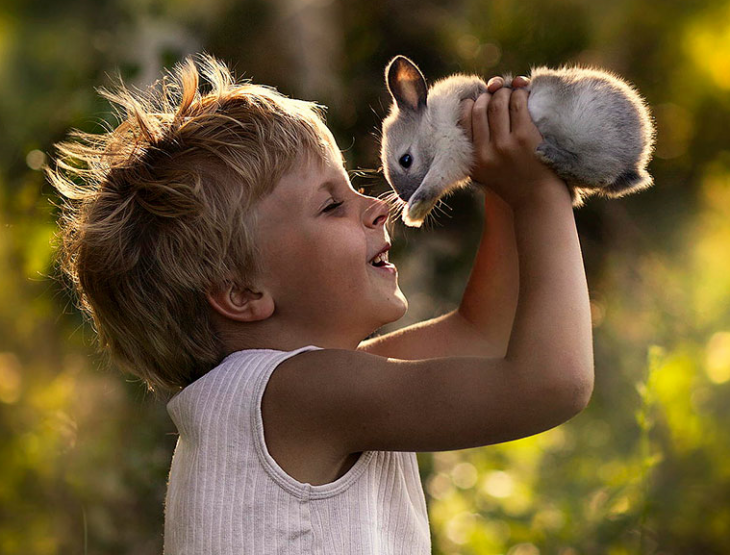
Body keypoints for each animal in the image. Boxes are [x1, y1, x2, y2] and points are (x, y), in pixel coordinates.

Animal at [382, 55, 656, 227]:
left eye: (405, 160)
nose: (404, 196)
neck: (432, 123)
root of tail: (636, 161)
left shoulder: (453, 147)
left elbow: (436, 179)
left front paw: (414, 212)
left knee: (600, 172)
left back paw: (552, 155)